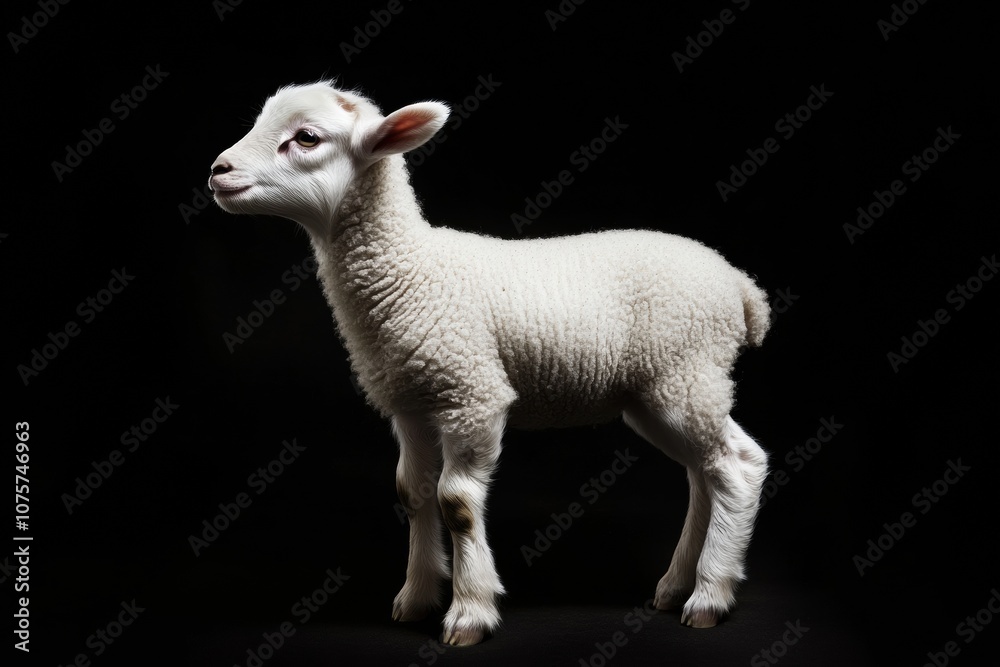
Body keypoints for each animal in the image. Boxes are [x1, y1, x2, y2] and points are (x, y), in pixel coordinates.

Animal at [208, 80, 771, 647]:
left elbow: (455, 502)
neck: (409, 269)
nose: (217, 170)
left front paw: (470, 610)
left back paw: (710, 594)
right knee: (704, 472)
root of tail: (741, 286)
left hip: (686, 374)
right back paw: (676, 585)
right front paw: (416, 597)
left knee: (736, 468)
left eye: (306, 137)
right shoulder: (411, 403)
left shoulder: (471, 394)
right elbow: (412, 493)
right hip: (662, 392)